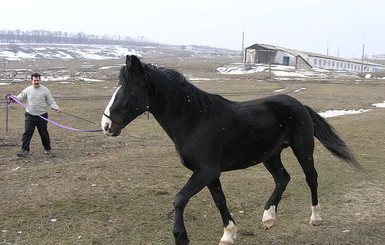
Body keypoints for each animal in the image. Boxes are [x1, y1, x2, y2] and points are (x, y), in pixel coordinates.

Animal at [100, 55, 362, 245]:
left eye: (127, 90)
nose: (106, 126)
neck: (195, 120)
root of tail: (299, 105)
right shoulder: (209, 173)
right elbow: (220, 201)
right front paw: (228, 234)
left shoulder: (206, 171)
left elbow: (179, 199)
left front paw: (181, 237)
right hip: (270, 155)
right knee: (282, 179)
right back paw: (269, 217)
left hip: (303, 148)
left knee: (311, 178)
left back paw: (315, 218)